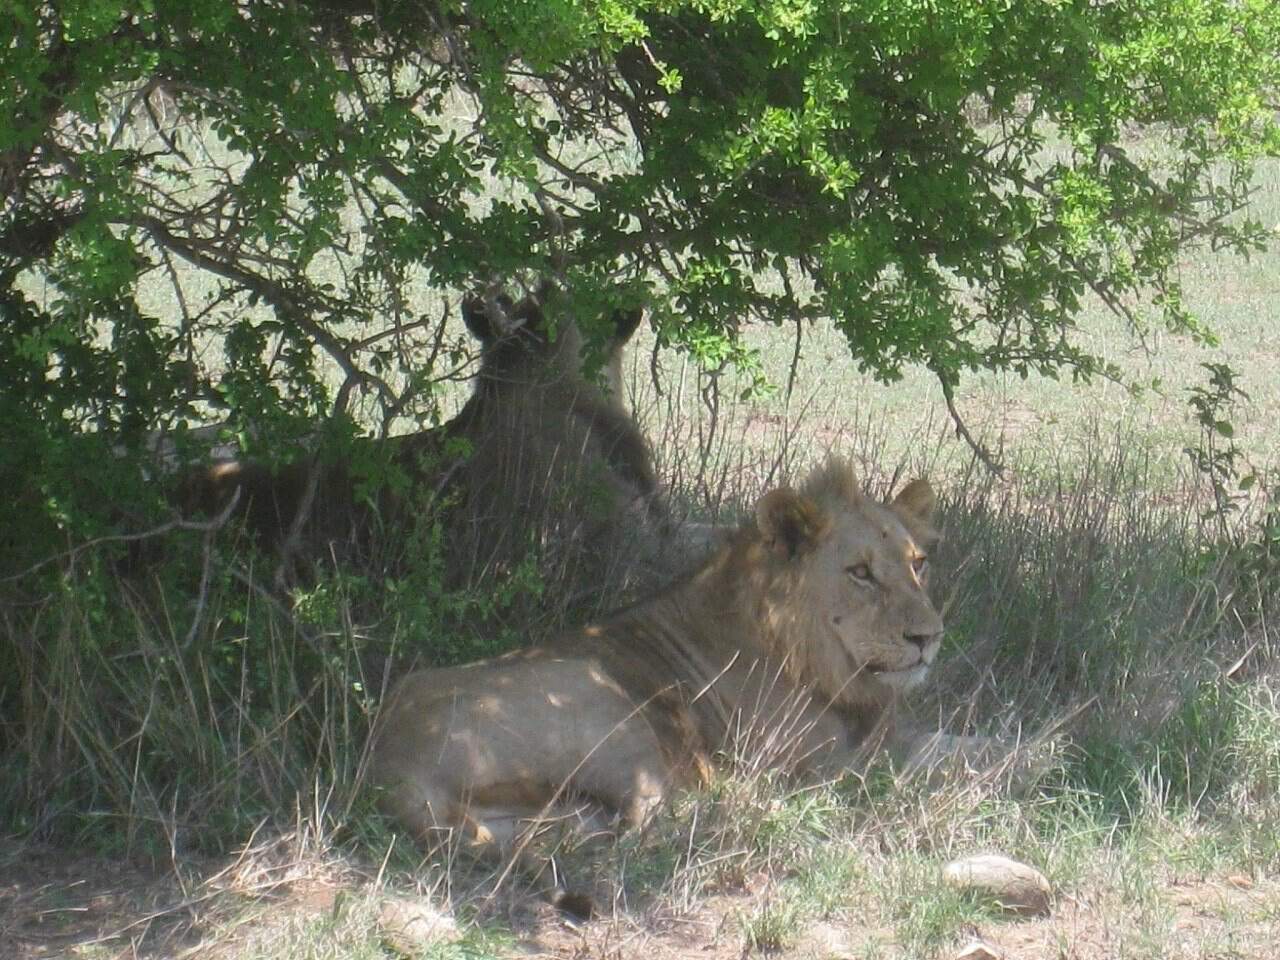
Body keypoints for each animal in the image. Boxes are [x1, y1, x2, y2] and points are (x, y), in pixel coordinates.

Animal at [368, 458, 967, 849]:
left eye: (918, 564)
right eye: (860, 573)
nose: (929, 637)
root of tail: (390, 760)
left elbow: (953, 743)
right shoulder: (823, 757)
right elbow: (939, 762)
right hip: (609, 710)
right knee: (659, 818)